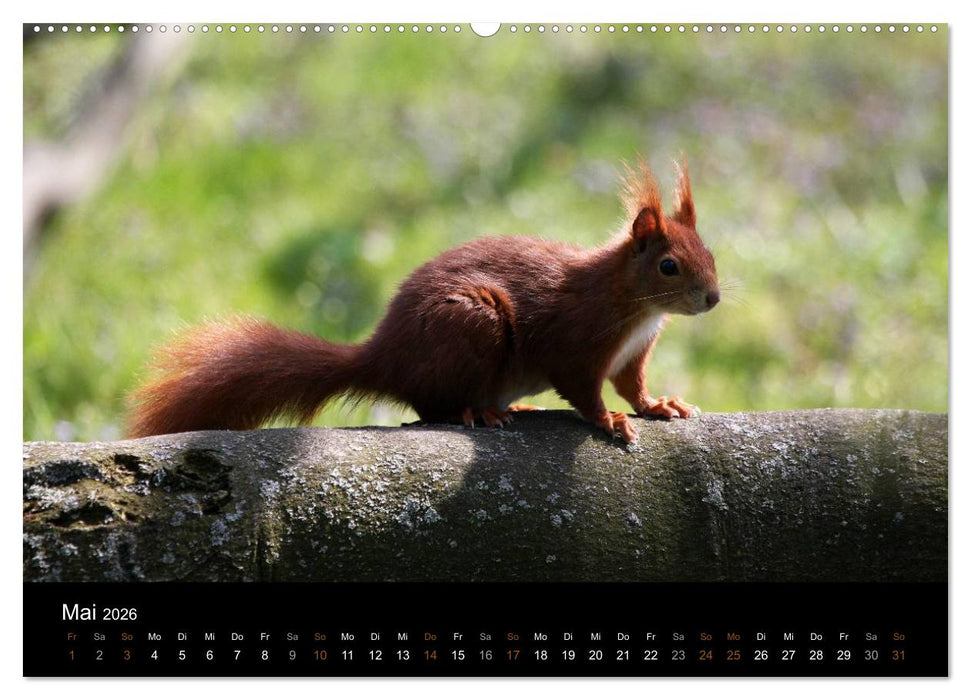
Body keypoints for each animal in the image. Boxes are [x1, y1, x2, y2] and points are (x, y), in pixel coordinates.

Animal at [126, 158, 719, 443]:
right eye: (668, 265)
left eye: (710, 252)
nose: (712, 299)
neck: (637, 306)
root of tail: (384, 357)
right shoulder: (577, 341)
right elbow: (582, 389)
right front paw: (609, 421)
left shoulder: (632, 354)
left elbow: (633, 385)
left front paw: (657, 406)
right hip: (471, 328)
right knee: (431, 406)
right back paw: (477, 411)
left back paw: (510, 406)